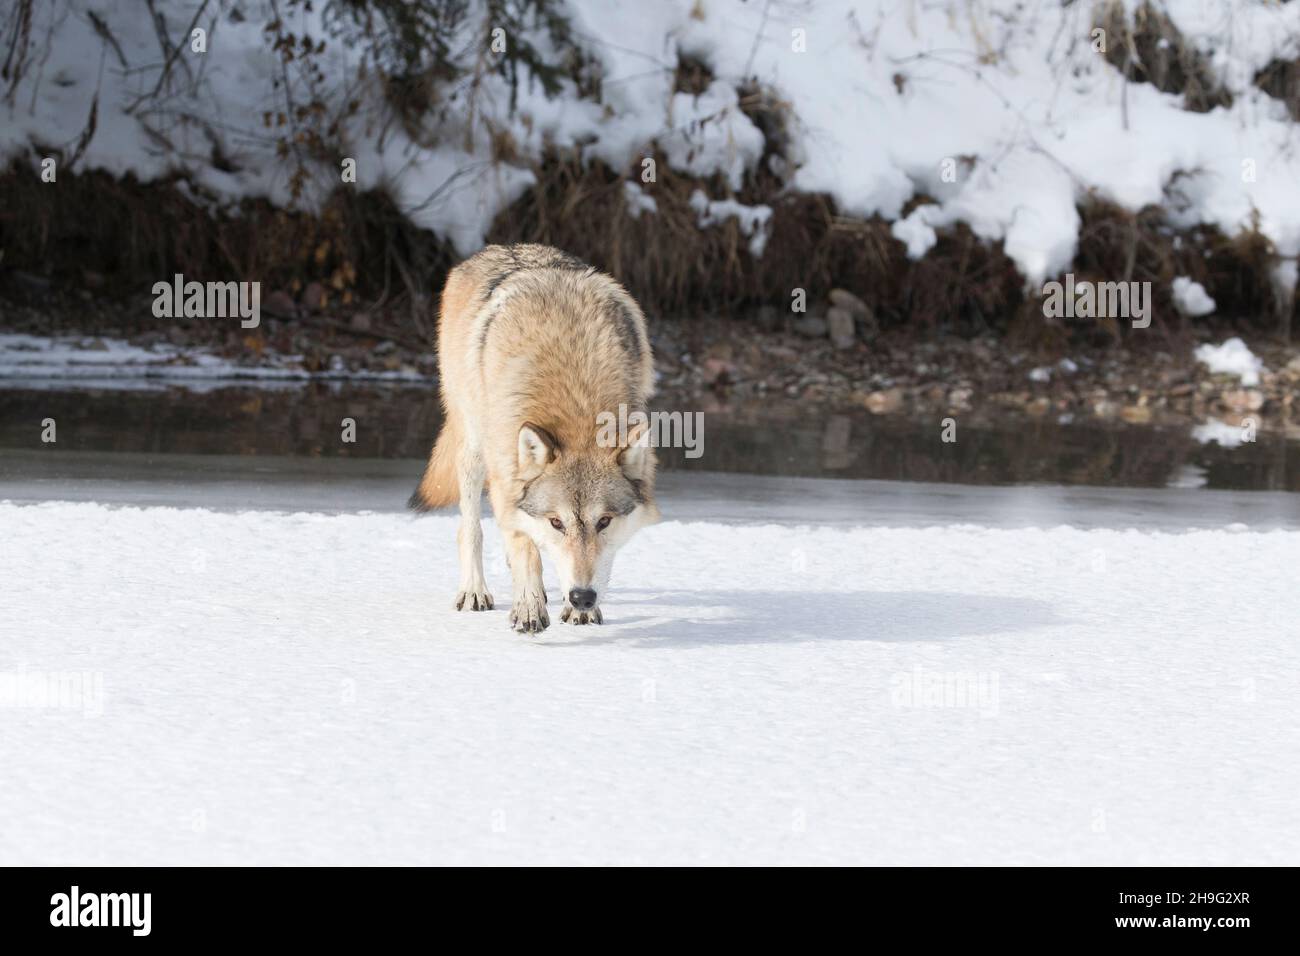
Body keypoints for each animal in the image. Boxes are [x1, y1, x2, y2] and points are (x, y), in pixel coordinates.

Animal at [409, 244, 659, 634]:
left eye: (604, 521)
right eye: (556, 522)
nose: (582, 596)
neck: (575, 397)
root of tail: (498, 248)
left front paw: (579, 610)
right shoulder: (505, 477)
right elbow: (525, 548)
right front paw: (529, 606)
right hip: (473, 448)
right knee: (471, 529)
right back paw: (475, 591)